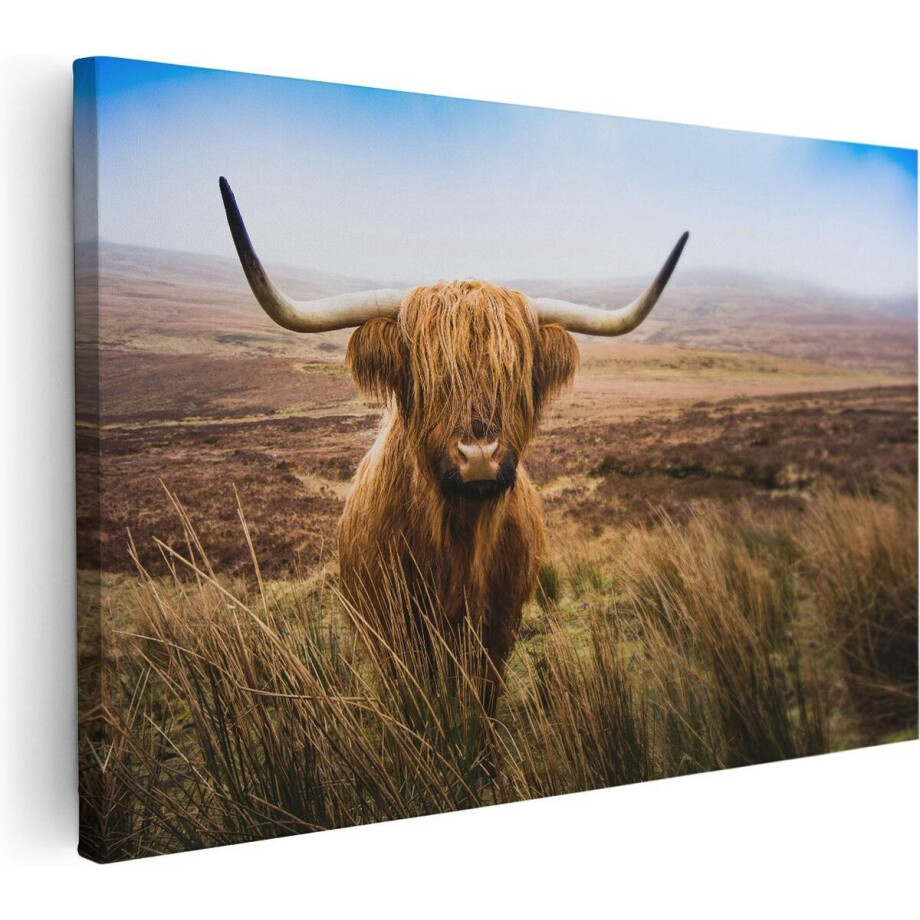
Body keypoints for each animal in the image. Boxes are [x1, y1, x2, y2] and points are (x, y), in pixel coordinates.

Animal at [218, 176, 688, 724]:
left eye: (514, 372)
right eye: (427, 374)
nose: (479, 455)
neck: (457, 543)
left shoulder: (500, 629)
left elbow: (481, 706)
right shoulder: (392, 632)